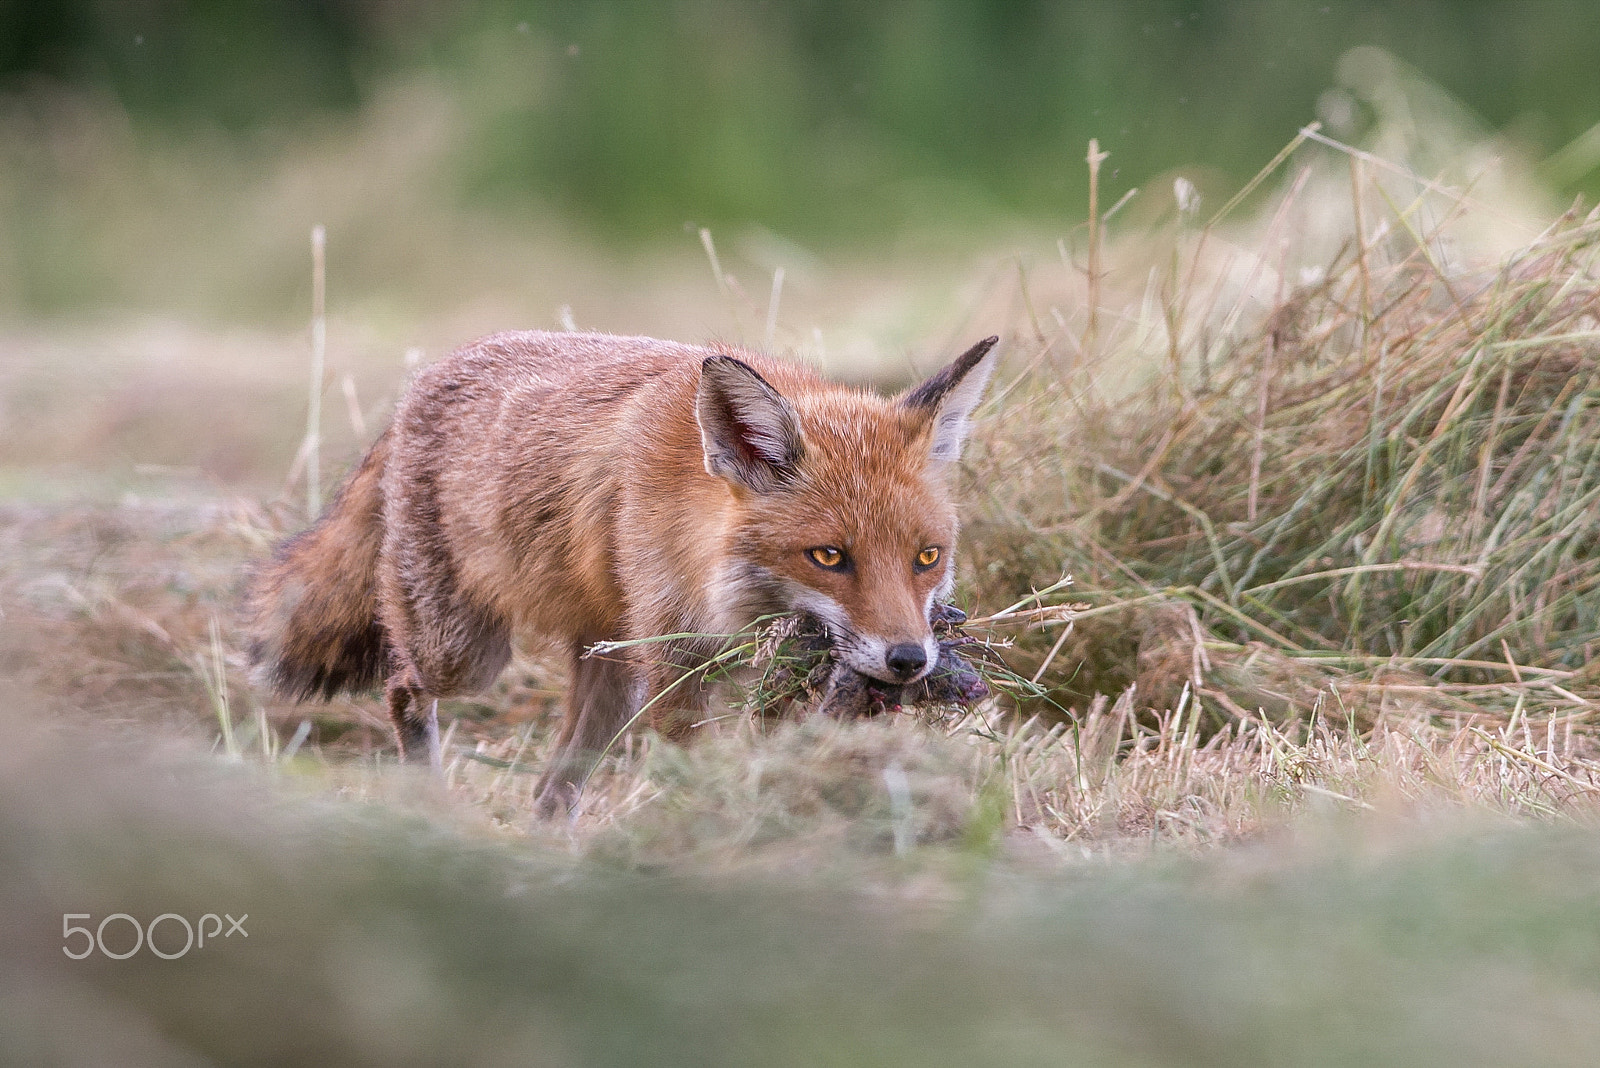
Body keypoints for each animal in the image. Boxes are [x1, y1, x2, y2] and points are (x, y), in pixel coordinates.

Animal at [246, 330, 999, 812]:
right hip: (464, 655)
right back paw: (429, 805)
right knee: (403, 688)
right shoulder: (674, 671)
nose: (909, 660)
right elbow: (698, 769)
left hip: (610, 677)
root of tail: (420, 385)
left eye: (927, 558)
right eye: (830, 557)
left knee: (554, 787)